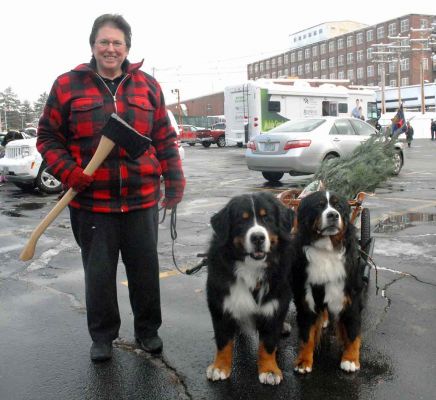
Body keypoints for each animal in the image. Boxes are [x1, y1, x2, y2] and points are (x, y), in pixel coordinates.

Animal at [206, 192, 294, 386]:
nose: (258, 238)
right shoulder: (221, 305)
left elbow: (268, 343)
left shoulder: (274, 305)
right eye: (242, 220)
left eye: (267, 218)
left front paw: (269, 370)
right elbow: (223, 341)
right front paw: (220, 367)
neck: (251, 268)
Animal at [290, 189, 364, 374]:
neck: (326, 250)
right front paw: (303, 361)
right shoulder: (306, 296)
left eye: (339, 207)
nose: (333, 215)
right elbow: (307, 334)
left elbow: (352, 331)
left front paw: (350, 359)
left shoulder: (350, 296)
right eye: (319, 206)